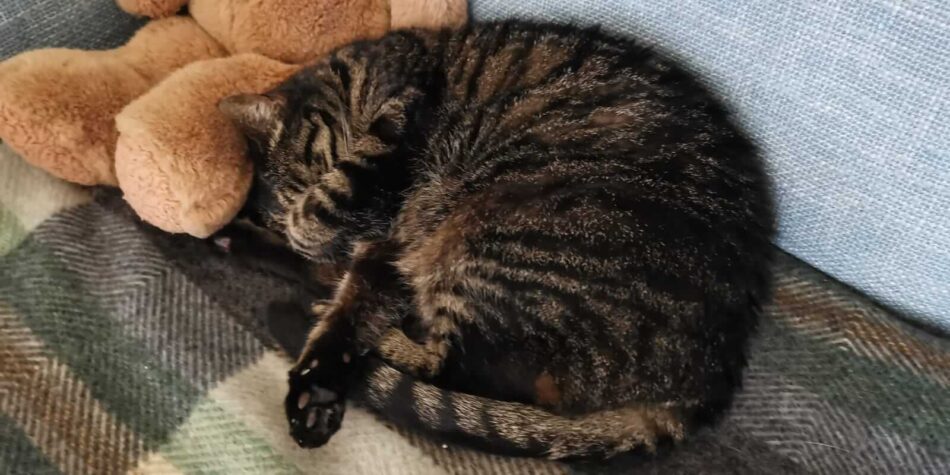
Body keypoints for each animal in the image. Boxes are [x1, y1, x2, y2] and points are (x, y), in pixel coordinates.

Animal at [219, 20, 776, 462]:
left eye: (306, 176)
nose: (338, 243)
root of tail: (710, 382)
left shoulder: (394, 136)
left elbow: (333, 219)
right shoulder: (381, 249)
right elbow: (348, 297)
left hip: (504, 238)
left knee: (462, 369)